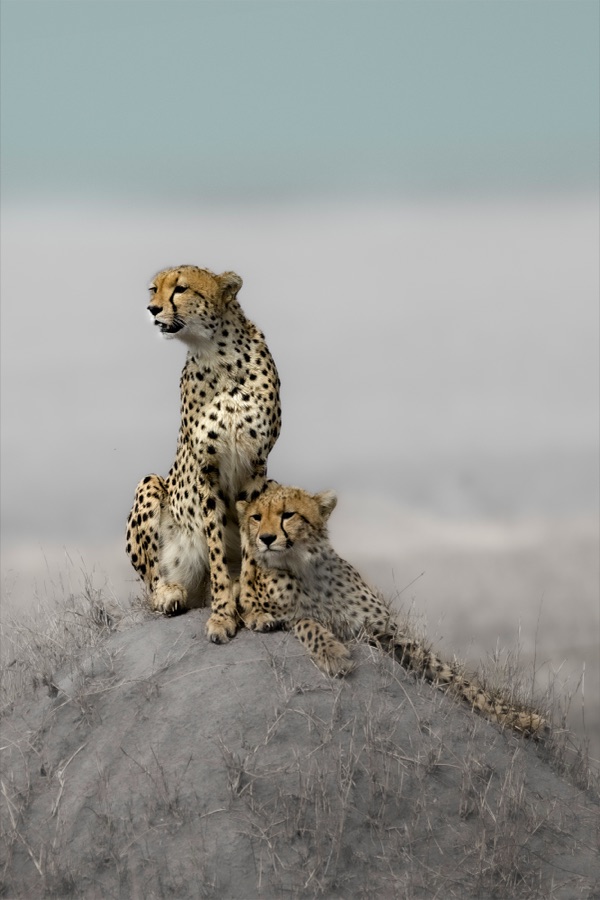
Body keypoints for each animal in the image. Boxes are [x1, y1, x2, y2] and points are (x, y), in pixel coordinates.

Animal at [126, 266, 281, 643]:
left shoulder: (256, 467)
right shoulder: (205, 469)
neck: (217, 354)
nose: (152, 309)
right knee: (154, 578)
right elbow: (215, 547)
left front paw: (253, 609)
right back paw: (169, 593)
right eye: (153, 289)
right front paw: (223, 615)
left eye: (180, 288)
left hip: (273, 484)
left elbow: (250, 546)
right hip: (150, 484)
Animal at [236, 482, 546, 737]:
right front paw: (333, 654)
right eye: (256, 517)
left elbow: (454, 677)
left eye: (288, 514)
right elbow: (307, 622)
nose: (265, 538)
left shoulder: (384, 631)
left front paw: (520, 718)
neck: (304, 566)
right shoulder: (290, 617)